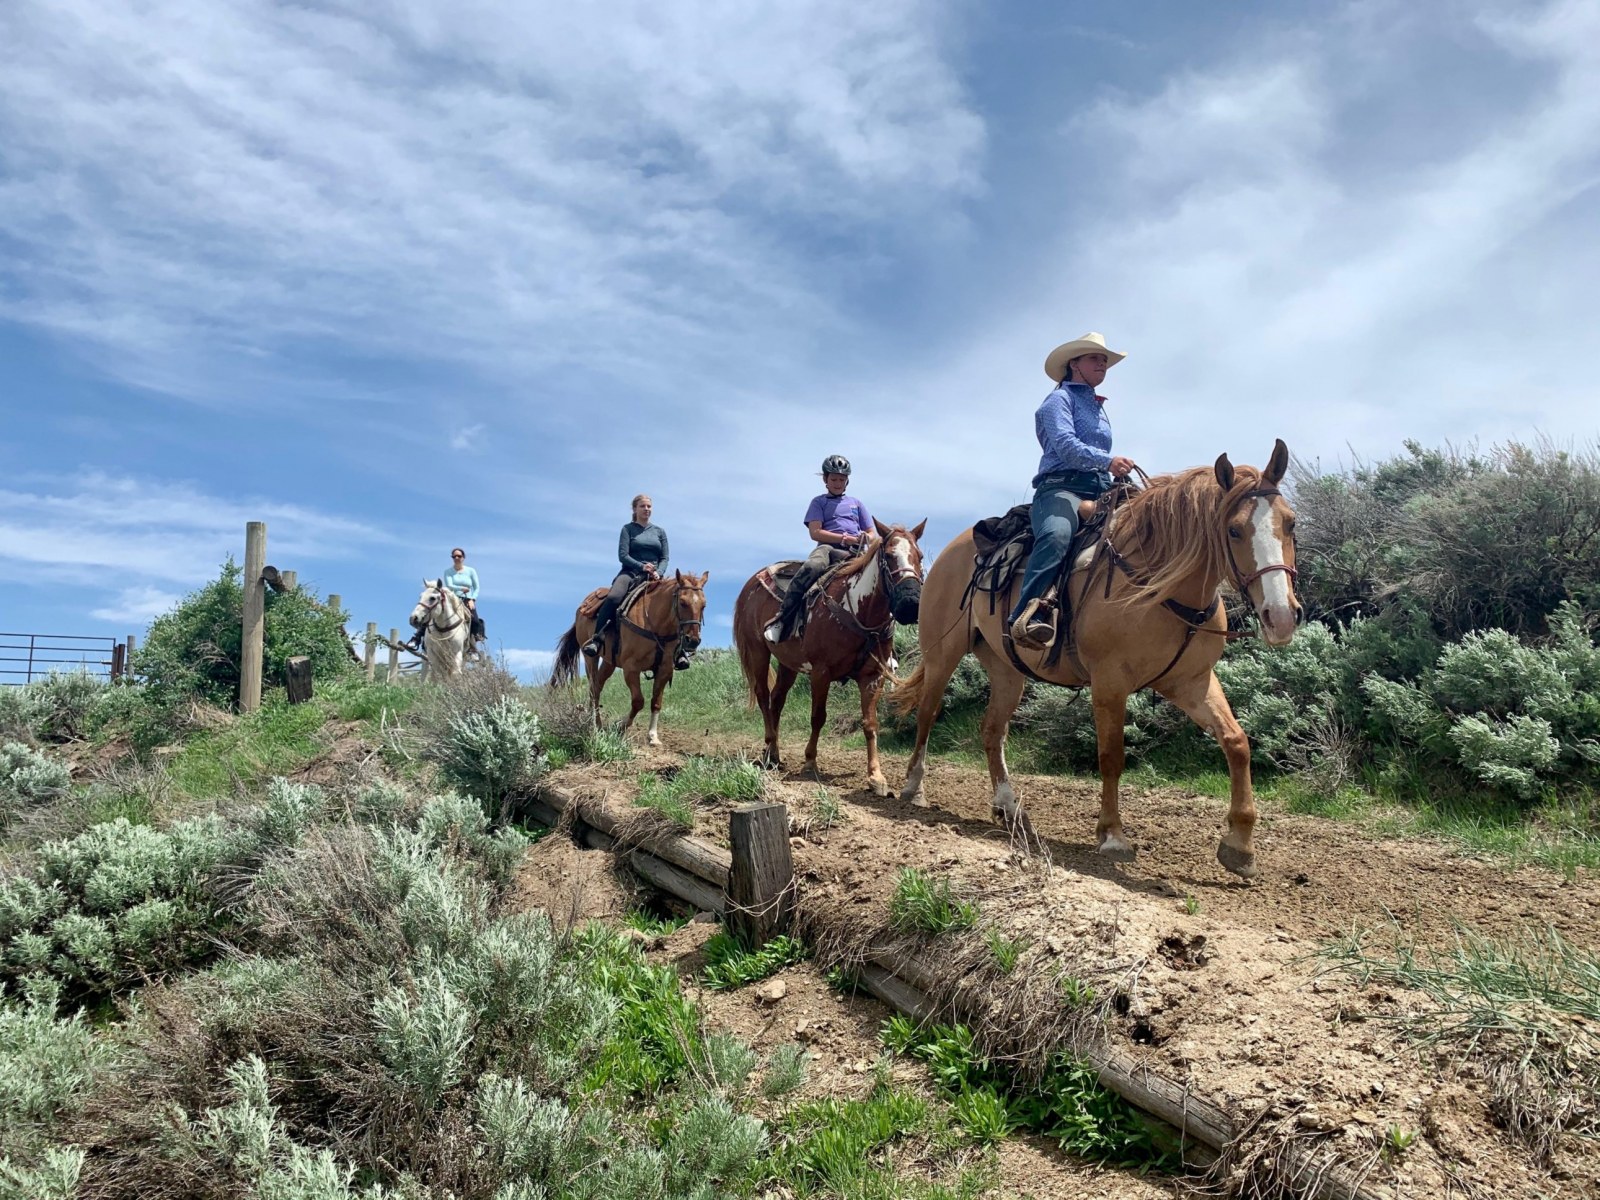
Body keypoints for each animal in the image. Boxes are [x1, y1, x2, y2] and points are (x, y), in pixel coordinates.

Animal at [550, 569, 707, 748]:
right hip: (591, 658)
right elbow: (638, 701)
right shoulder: (631, 669)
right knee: (593, 689)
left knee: (597, 687)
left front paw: (653, 736)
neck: (655, 625)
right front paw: (620, 726)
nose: (693, 641)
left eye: (704, 605)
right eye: (682, 602)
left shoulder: (665, 670)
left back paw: (597, 724)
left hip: (609, 663)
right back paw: (594, 725)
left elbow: (656, 702)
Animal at [732, 524, 928, 800]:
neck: (859, 610)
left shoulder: (873, 677)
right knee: (762, 695)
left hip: (788, 663)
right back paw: (770, 748)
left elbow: (870, 724)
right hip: (757, 650)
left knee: (777, 700)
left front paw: (876, 777)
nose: (911, 603)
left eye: (919, 556)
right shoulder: (821, 673)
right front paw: (810, 762)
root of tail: (751, 582)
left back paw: (775, 754)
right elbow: (818, 717)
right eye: (889, 556)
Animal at [896, 444, 1305, 883]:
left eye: (1291, 523)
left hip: (1007, 671)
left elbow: (1237, 742)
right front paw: (1112, 835)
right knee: (927, 713)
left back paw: (1009, 809)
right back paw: (914, 788)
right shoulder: (1110, 683)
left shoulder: (1193, 683)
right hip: (942, 654)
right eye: (1234, 530)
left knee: (992, 730)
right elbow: (1111, 757)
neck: (1159, 585)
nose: (1281, 616)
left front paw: (1240, 846)